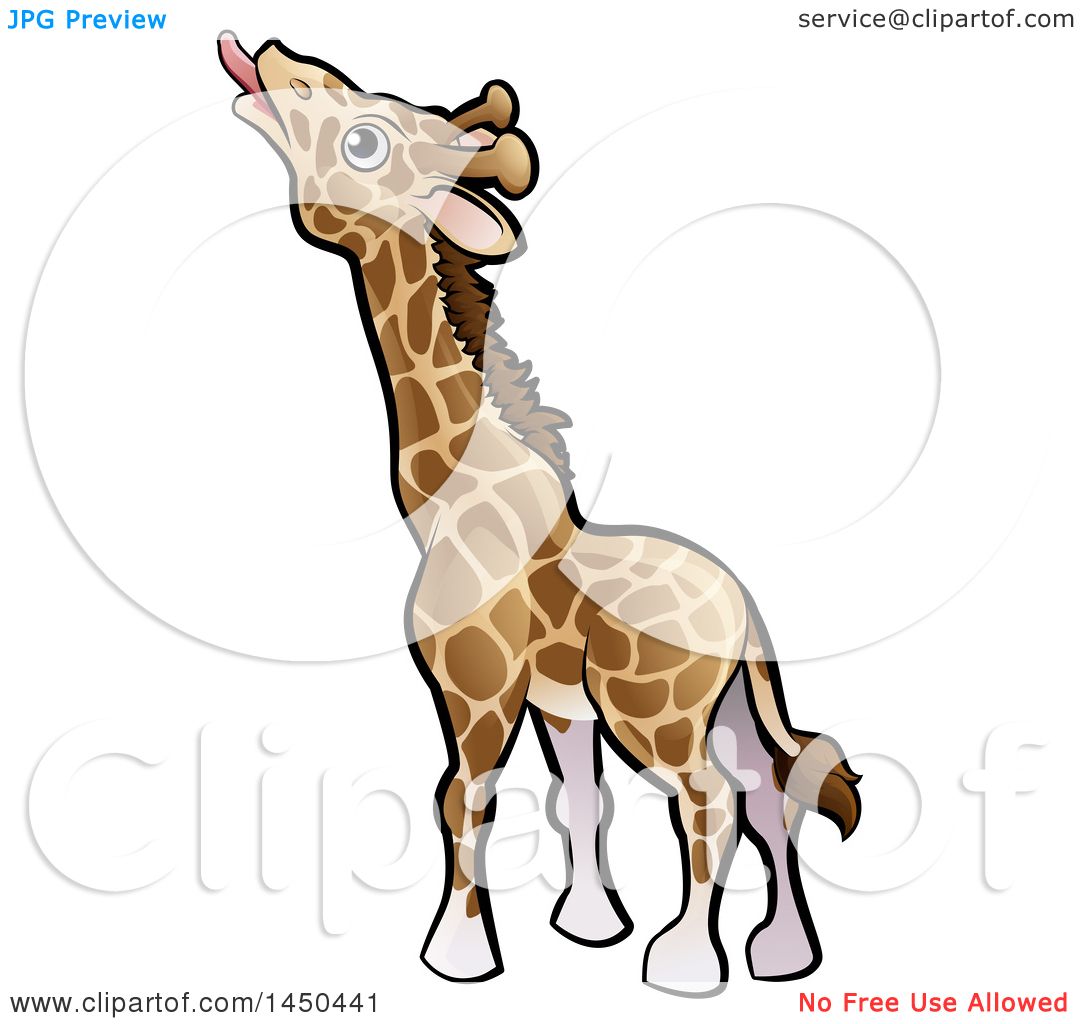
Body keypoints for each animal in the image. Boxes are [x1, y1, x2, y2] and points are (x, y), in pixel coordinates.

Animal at [218, 32, 862, 996]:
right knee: (766, 791)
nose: (267, 52)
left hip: (659, 712)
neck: (444, 498)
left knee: (708, 798)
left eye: (367, 141)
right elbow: (579, 800)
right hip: (727, 705)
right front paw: (590, 927)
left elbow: (461, 796)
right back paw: (782, 956)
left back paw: (684, 964)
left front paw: (458, 956)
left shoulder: (476, 684)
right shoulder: (563, 701)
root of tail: (744, 611)